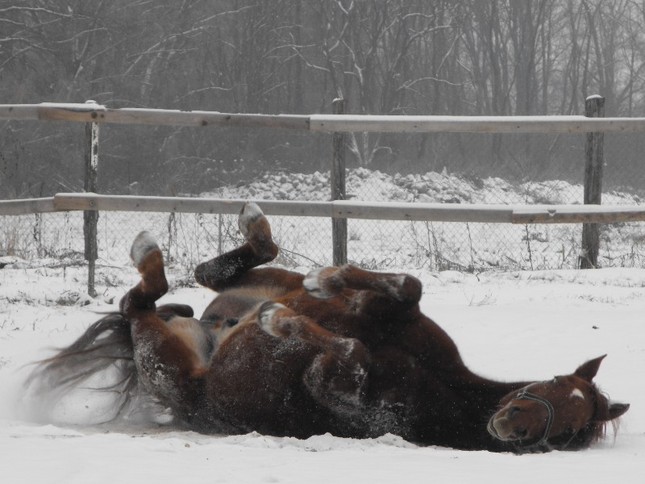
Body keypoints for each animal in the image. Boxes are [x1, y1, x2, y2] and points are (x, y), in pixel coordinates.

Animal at [31, 202, 628, 452]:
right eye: (558, 383)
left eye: (571, 430)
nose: (514, 426)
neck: (441, 384)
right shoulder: (399, 315)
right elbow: (406, 287)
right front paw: (329, 280)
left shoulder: (344, 394)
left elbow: (346, 354)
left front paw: (282, 320)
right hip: (261, 280)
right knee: (217, 271)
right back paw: (252, 236)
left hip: (169, 362)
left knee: (140, 303)